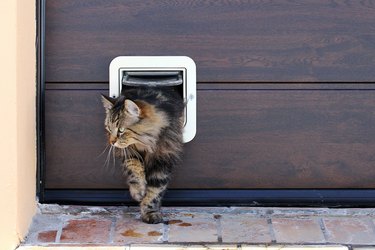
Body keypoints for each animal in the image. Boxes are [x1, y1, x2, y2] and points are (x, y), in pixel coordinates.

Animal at [101, 86, 185, 225]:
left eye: (121, 130)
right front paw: (138, 191)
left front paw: (150, 212)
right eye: (109, 128)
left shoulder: (162, 158)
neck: (145, 143)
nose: (111, 142)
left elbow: (155, 189)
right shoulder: (129, 153)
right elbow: (135, 170)